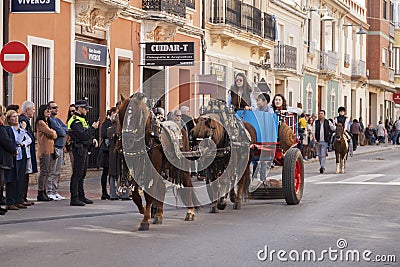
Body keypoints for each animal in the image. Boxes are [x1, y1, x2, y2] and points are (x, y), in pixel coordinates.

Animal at [115, 93, 197, 230]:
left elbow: (150, 194)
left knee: (187, 184)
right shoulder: (136, 168)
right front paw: (144, 210)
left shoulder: (152, 168)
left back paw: (190, 212)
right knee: (162, 188)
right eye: (120, 113)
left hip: (182, 166)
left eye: (139, 113)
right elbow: (135, 194)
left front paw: (145, 220)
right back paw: (158, 215)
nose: (127, 138)